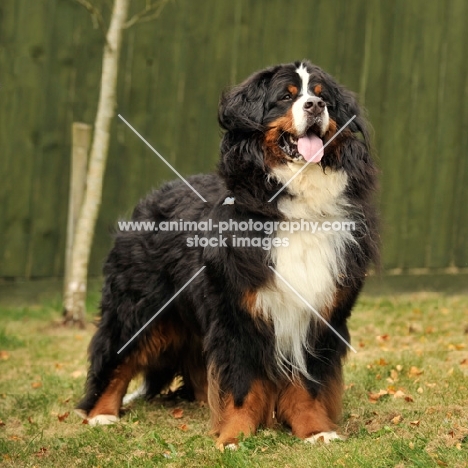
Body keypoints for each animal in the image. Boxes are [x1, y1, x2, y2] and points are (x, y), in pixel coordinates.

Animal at [76, 60, 376, 448]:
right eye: (286, 97)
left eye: (323, 96)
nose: (315, 106)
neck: (292, 202)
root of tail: (149, 198)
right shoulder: (236, 310)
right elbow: (240, 382)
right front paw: (234, 435)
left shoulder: (319, 311)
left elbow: (307, 383)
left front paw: (315, 429)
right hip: (139, 304)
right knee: (116, 355)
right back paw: (102, 413)